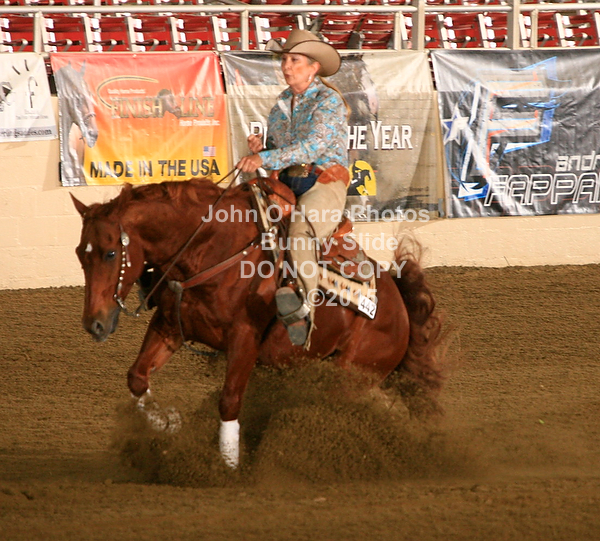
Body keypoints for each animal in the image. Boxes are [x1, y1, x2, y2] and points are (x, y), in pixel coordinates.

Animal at [71, 178, 444, 468]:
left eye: (110, 253)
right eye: (79, 253)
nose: (94, 324)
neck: (216, 251)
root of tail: (399, 305)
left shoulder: (244, 339)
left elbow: (229, 401)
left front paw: (227, 466)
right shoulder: (169, 325)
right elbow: (137, 377)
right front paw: (168, 424)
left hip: (351, 374)